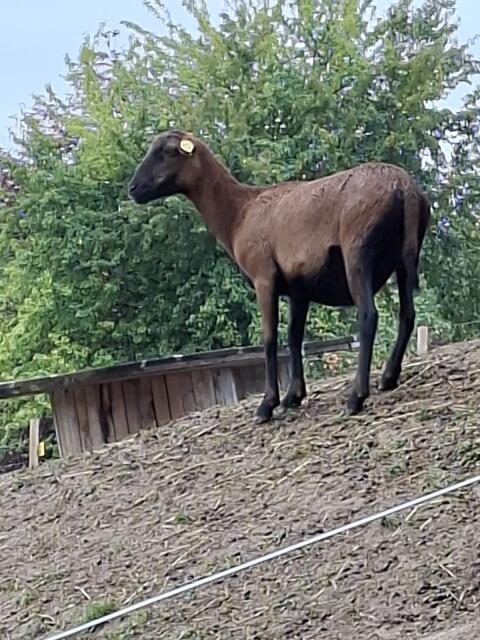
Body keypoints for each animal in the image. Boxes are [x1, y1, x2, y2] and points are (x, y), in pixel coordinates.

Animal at [129, 130, 430, 423]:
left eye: (168, 152)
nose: (133, 189)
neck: (238, 213)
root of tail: (405, 188)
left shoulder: (264, 277)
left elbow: (269, 338)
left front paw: (267, 405)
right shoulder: (299, 288)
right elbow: (294, 336)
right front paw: (293, 396)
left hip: (357, 253)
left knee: (368, 316)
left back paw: (356, 397)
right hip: (406, 257)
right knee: (407, 314)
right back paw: (388, 378)